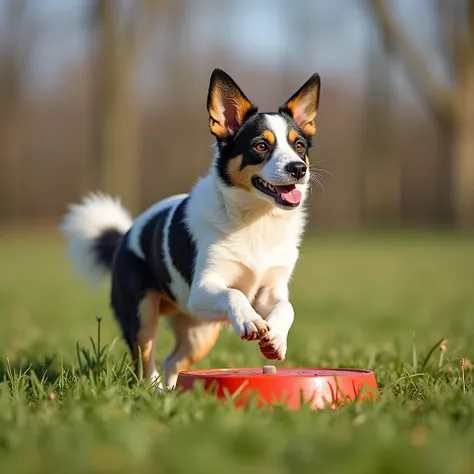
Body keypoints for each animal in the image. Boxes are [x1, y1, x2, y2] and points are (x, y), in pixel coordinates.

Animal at [59, 68, 320, 390]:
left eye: (299, 146)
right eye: (261, 146)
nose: (298, 169)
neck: (257, 221)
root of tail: (124, 236)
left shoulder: (269, 291)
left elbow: (286, 307)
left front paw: (277, 339)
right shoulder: (204, 287)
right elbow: (235, 295)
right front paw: (248, 320)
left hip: (200, 332)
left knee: (171, 361)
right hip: (144, 316)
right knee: (146, 364)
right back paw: (155, 391)